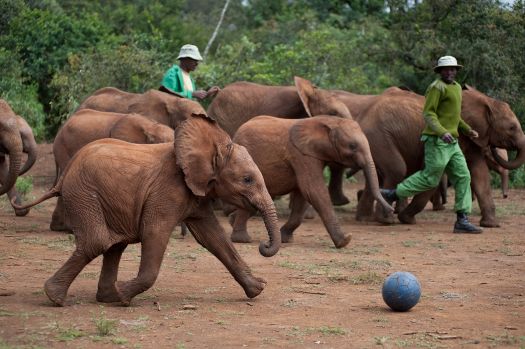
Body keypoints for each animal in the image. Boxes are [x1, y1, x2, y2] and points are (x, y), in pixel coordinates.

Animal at [14, 116, 280, 304]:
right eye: (247, 179)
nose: (263, 246)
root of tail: (64, 175)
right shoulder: (167, 191)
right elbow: (155, 233)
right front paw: (125, 294)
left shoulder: (196, 194)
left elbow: (214, 238)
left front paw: (258, 289)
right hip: (83, 194)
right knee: (98, 241)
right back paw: (57, 297)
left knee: (114, 245)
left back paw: (107, 297)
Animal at [231, 115, 390, 246]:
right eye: (352, 146)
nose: (391, 210)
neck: (330, 121)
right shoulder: (302, 155)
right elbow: (313, 190)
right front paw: (344, 241)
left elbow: (303, 195)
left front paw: (285, 239)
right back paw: (242, 239)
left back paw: (232, 222)